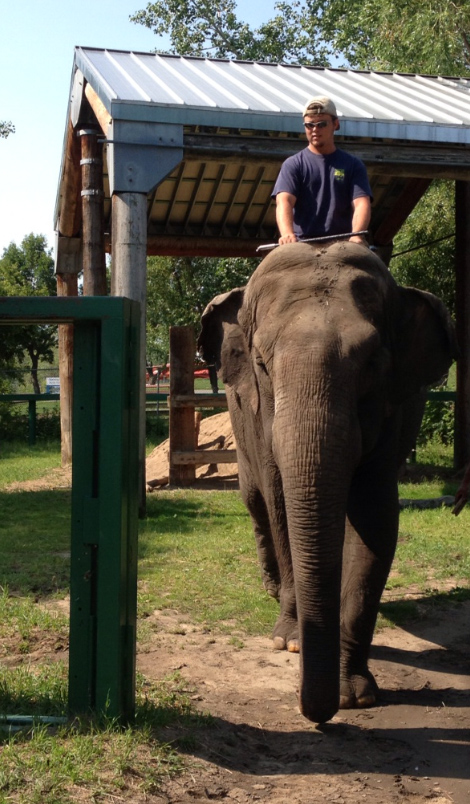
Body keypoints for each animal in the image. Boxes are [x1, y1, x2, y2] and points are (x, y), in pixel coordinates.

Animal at [196, 242, 458, 724]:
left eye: (373, 362)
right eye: (262, 364)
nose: (313, 715)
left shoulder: (392, 412)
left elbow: (375, 519)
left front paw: (354, 695)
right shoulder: (260, 419)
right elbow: (280, 502)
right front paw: (289, 640)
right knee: (254, 500)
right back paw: (273, 588)